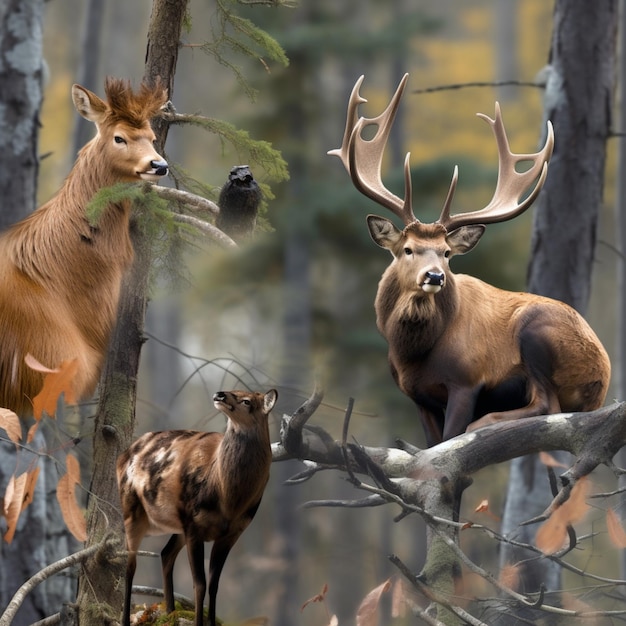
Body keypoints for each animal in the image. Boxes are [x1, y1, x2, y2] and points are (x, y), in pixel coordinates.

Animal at [116, 388, 276, 624]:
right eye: (234, 391)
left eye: (247, 401)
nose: (220, 394)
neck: (228, 500)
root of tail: (122, 456)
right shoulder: (194, 525)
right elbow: (199, 583)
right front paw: (199, 621)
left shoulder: (232, 533)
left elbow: (214, 584)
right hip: (132, 510)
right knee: (130, 566)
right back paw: (128, 618)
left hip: (178, 524)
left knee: (165, 554)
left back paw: (171, 613)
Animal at [330, 74, 608, 444]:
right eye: (407, 249)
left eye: (447, 253)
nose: (434, 276)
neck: (412, 355)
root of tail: (603, 379)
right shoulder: (419, 398)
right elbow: (430, 446)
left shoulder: (468, 379)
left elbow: (448, 440)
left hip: (538, 332)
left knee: (547, 405)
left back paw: (484, 424)